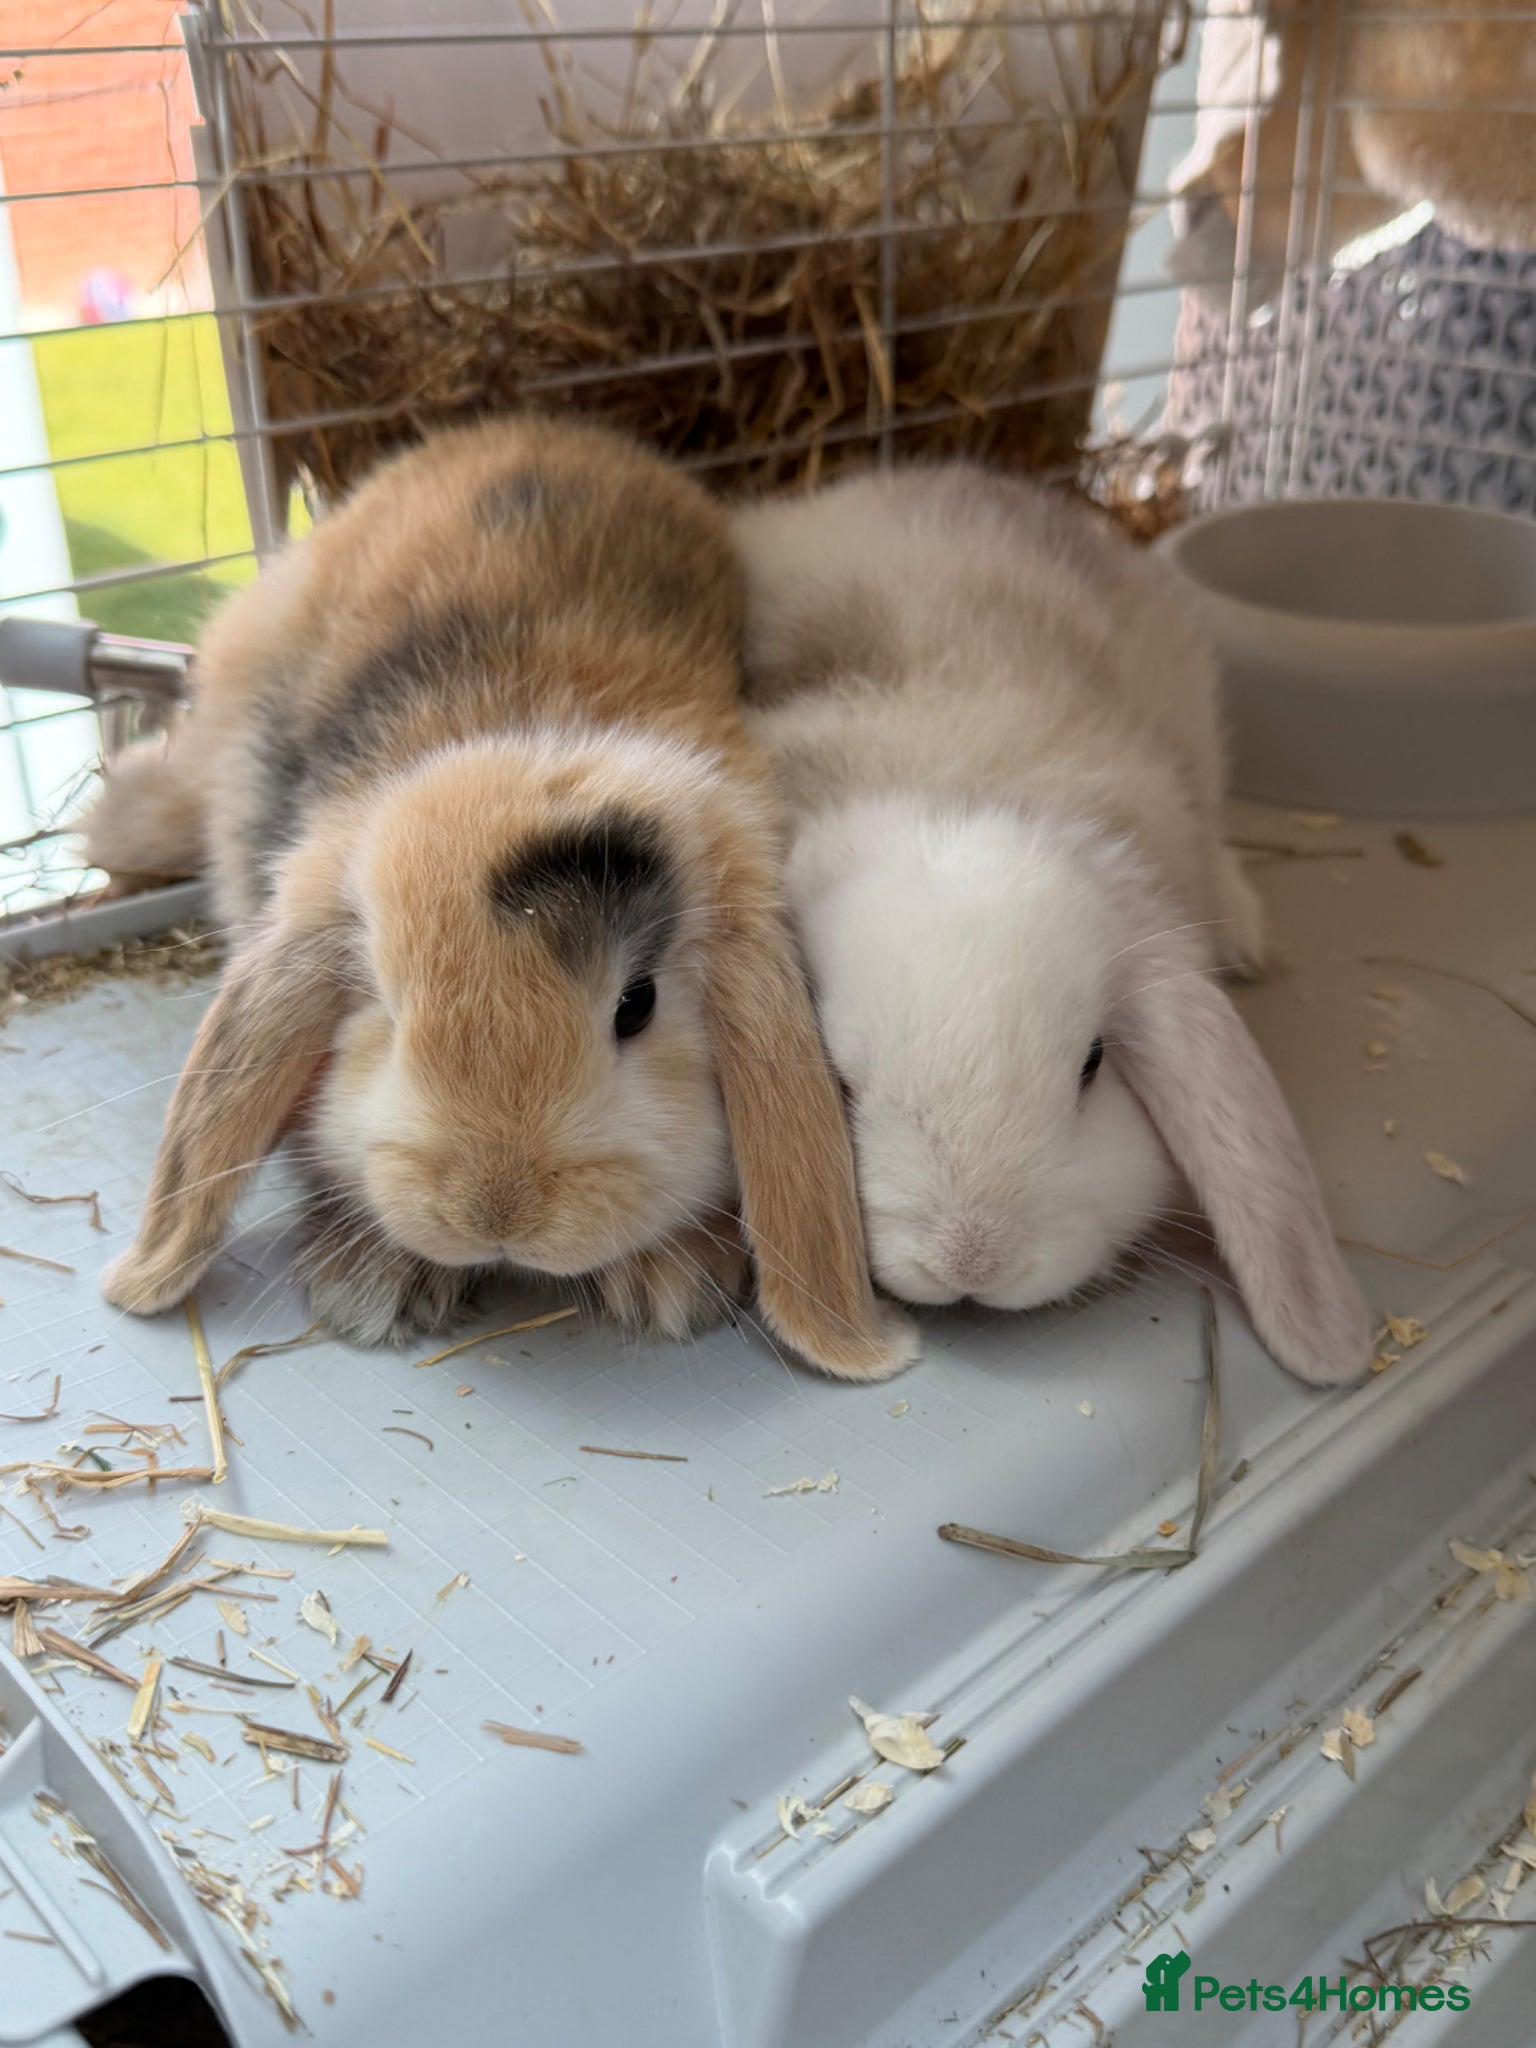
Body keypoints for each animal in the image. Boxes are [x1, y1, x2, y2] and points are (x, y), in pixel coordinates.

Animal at [81, 417, 911, 1383]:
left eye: (637, 1007)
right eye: (385, 1010)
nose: (497, 1213)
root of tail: (532, 430)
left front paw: (671, 1280)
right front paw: (377, 1284)